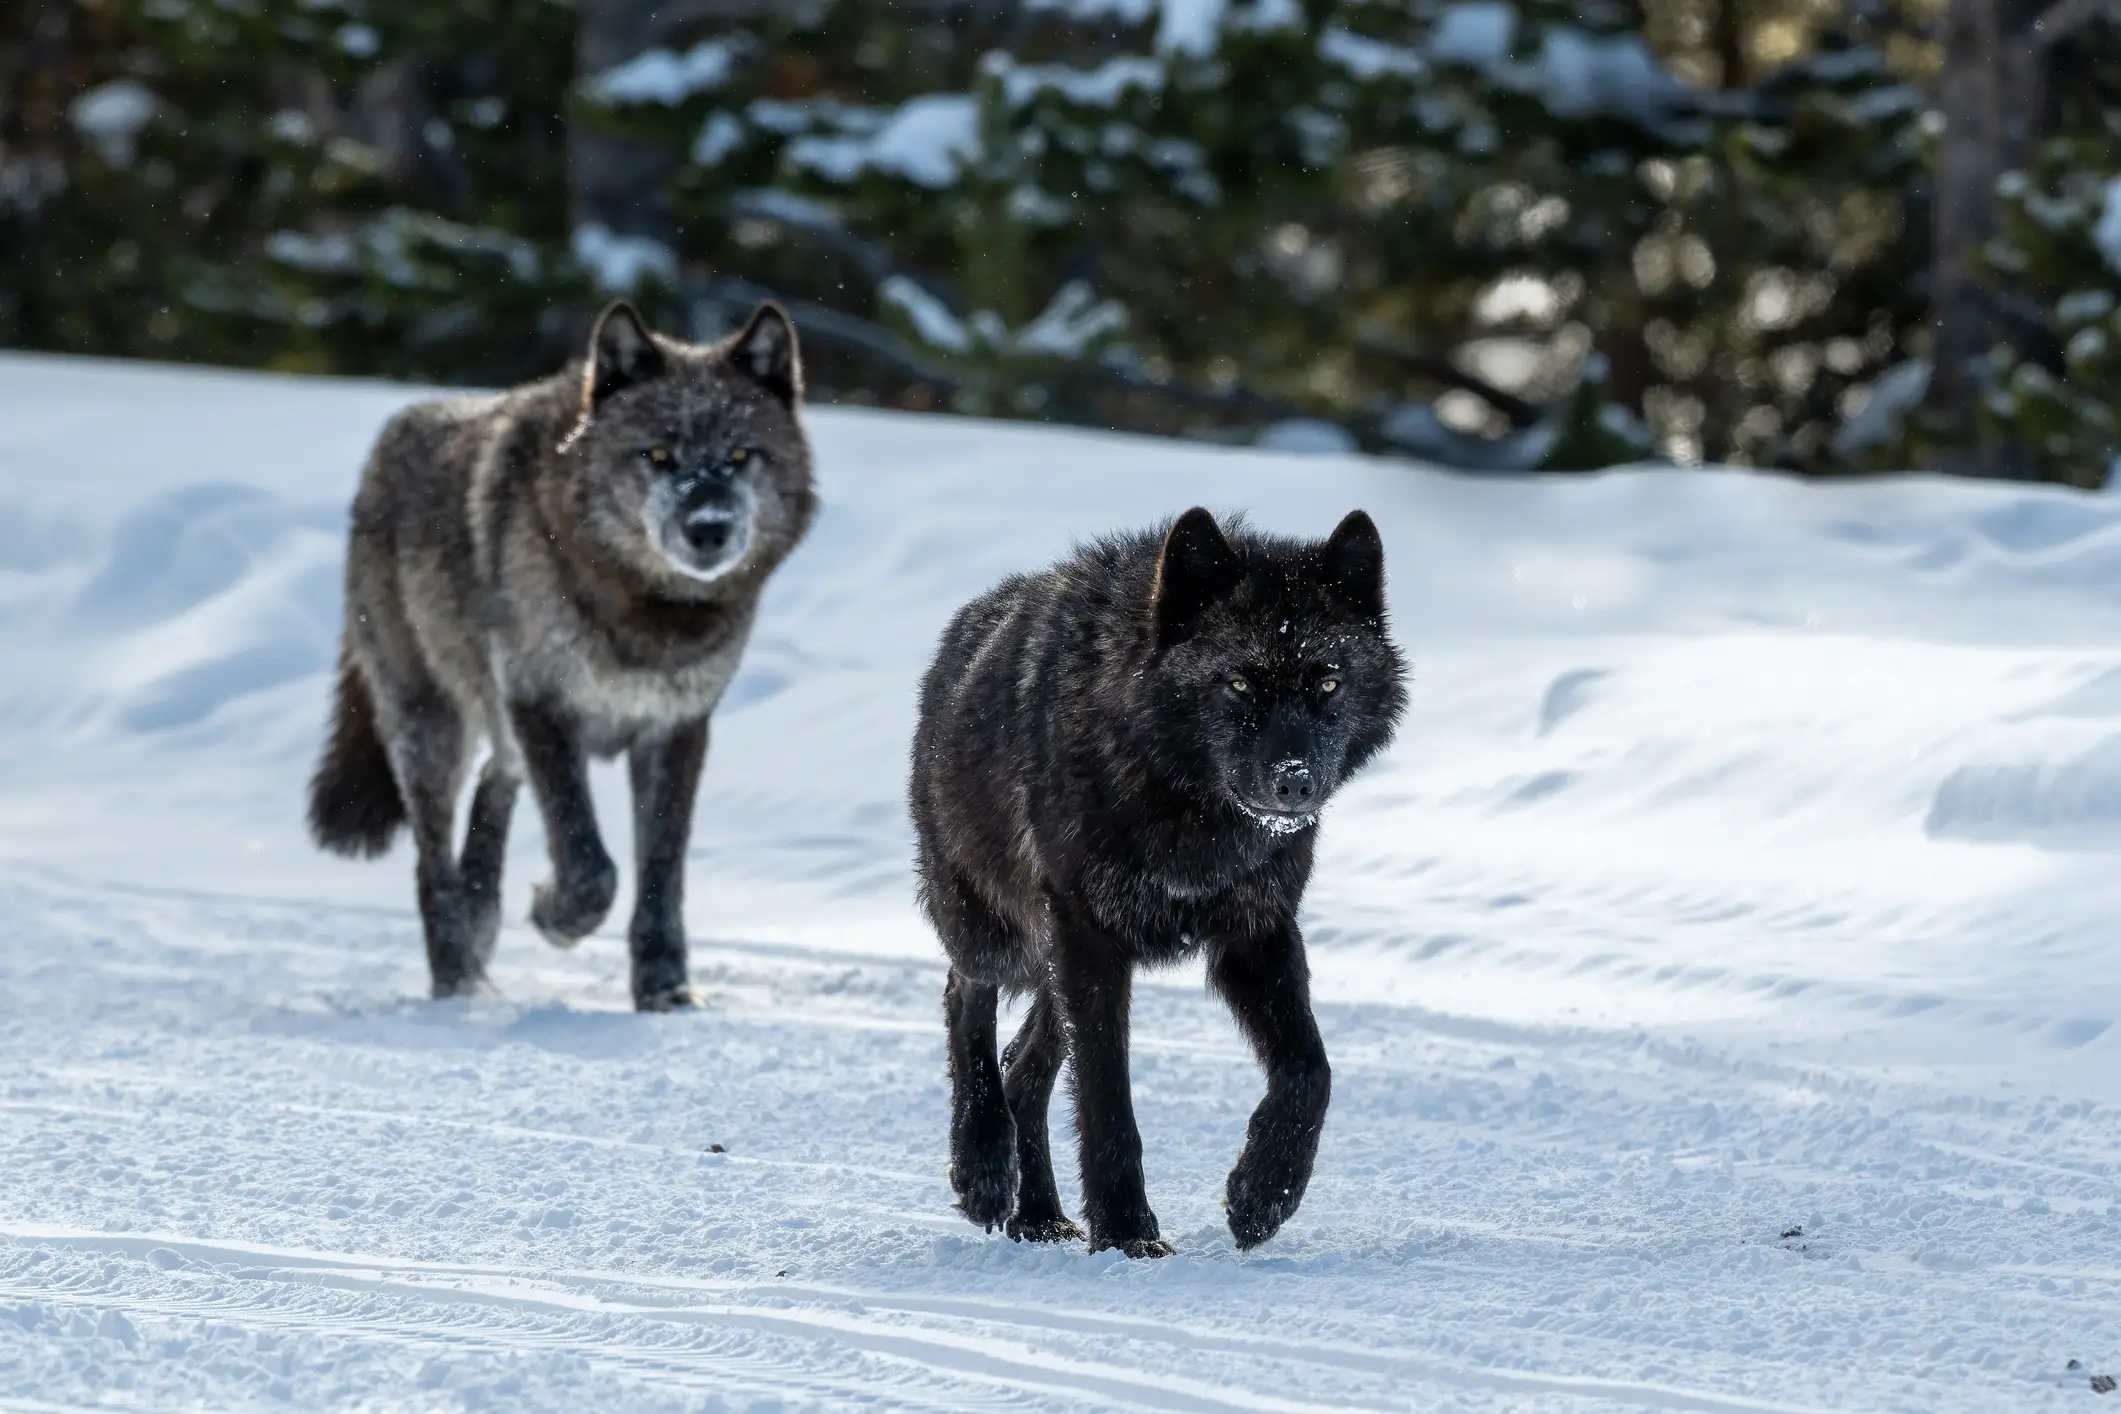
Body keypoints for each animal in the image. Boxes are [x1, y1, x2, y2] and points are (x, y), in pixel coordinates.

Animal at [307, 299, 816, 1010]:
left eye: (742, 454)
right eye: (659, 454)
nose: (709, 528)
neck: (650, 615)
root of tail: (391, 437)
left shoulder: (676, 728)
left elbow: (662, 873)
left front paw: (665, 989)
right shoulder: (542, 704)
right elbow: (588, 862)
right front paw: (556, 915)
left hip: (494, 729)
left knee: (495, 783)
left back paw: (479, 925)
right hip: (431, 728)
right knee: (431, 859)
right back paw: (457, 974)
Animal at [910, 507, 1408, 1255]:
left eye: (1327, 682)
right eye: (1238, 683)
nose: (1294, 781)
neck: (1187, 809)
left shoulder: (1256, 932)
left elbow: (1310, 1070)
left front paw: (1263, 1194)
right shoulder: (1090, 940)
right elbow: (1107, 1098)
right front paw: (1125, 1232)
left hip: (1055, 966)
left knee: (1022, 1066)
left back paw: (1038, 1215)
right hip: (1003, 937)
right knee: (963, 997)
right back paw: (983, 1169)